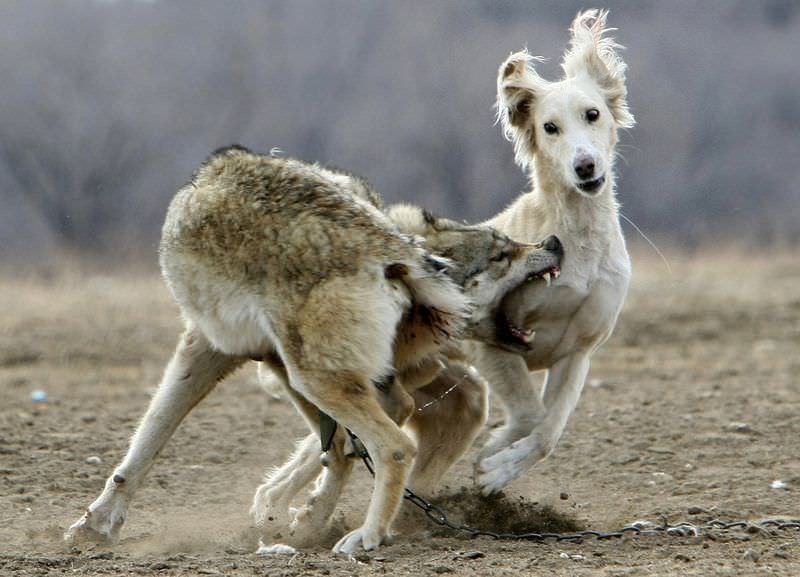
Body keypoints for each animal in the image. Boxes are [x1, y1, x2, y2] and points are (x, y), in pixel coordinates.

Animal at [64, 146, 564, 552]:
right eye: (502, 253)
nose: (553, 242)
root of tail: (392, 245)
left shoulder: (208, 345)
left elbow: (149, 436)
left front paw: (96, 524)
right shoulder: (280, 362)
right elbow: (334, 449)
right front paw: (293, 515)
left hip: (315, 377)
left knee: (395, 446)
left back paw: (365, 536)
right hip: (317, 375)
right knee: (390, 428)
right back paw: (338, 524)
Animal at [468, 10, 636, 490]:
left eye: (593, 114)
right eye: (549, 127)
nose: (585, 167)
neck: (578, 240)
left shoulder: (579, 352)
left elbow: (548, 431)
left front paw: (500, 467)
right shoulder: (492, 339)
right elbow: (529, 414)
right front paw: (489, 456)